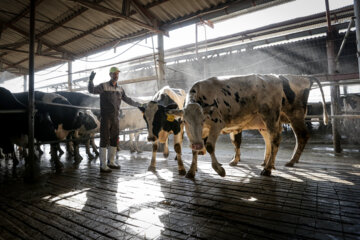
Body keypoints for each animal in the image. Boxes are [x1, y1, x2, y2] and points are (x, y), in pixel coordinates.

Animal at [169, 75, 330, 178]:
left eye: (203, 119)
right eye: (185, 121)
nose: (197, 144)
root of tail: (275, 78)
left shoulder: (217, 124)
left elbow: (209, 146)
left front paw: (220, 170)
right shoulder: (198, 134)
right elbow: (195, 150)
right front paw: (191, 172)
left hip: (280, 116)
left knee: (282, 138)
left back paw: (271, 168)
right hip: (267, 122)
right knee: (271, 139)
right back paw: (270, 164)